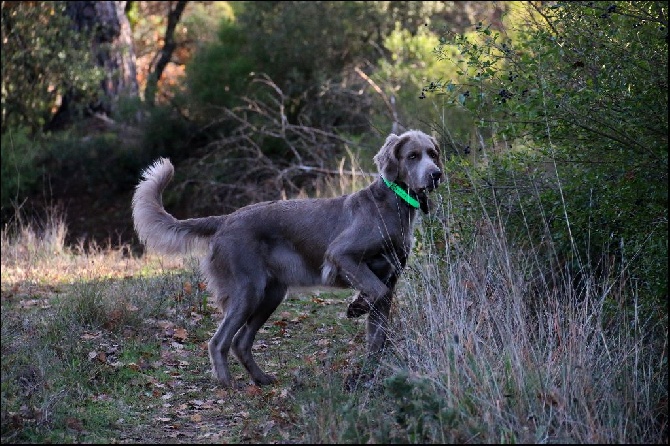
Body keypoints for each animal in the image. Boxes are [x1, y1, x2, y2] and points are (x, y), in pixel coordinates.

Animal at [133, 129, 444, 386]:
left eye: (433, 153)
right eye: (413, 156)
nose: (436, 174)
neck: (393, 205)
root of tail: (225, 220)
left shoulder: (389, 281)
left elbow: (377, 334)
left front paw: (369, 374)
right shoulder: (341, 254)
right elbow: (373, 290)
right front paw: (356, 307)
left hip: (270, 294)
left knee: (241, 341)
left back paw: (261, 379)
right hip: (248, 290)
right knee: (219, 341)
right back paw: (227, 384)